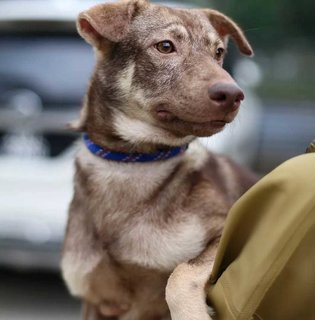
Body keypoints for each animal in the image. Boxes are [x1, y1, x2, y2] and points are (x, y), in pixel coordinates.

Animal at [60, 1, 258, 318]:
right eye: (165, 46)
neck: (132, 161)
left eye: (218, 53)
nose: (233, 95)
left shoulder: (230, 230)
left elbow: (180, 273)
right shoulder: (96, 301)